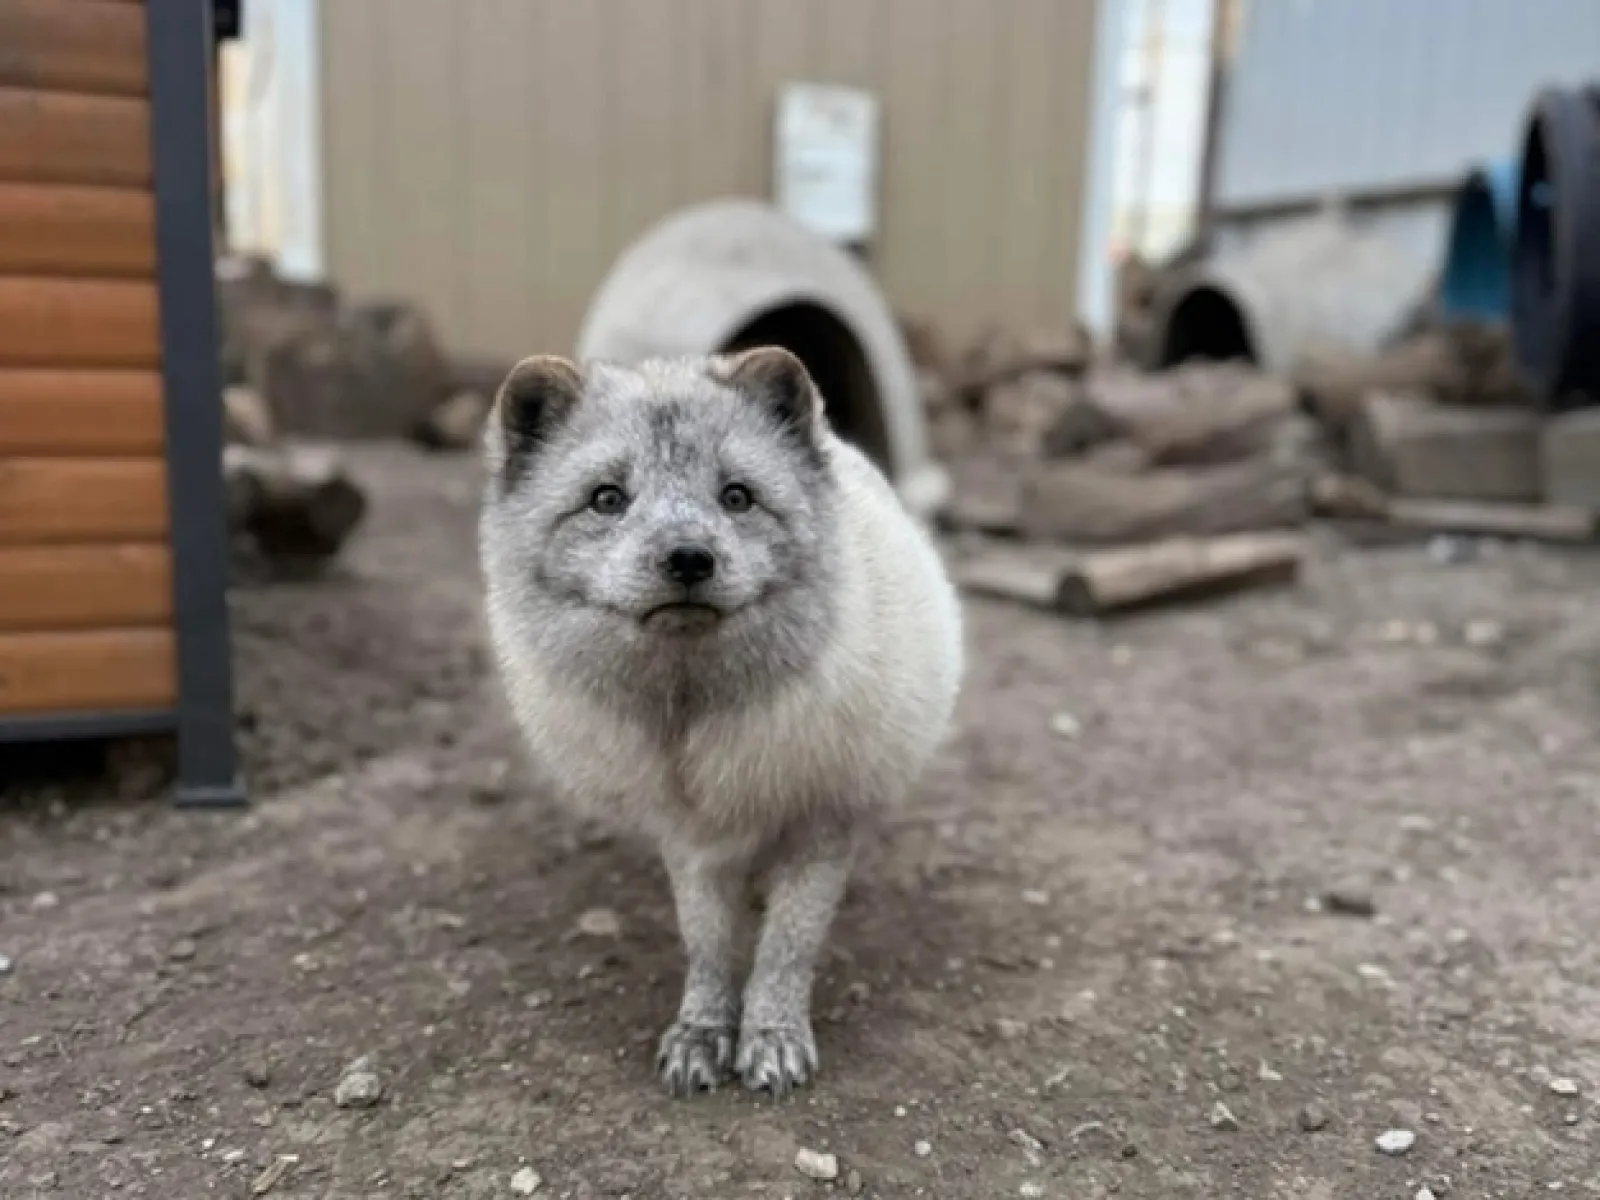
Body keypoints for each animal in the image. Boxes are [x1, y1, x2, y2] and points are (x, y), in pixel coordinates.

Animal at [477, 345, 964, 1097]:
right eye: (607, 499)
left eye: (736, 497)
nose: (688, 558)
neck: (693, 723)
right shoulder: (690, 837)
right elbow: (706, 942)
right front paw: (702, 1032)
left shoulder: (823, 823)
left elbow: (788, 948)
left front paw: (772, 1034)